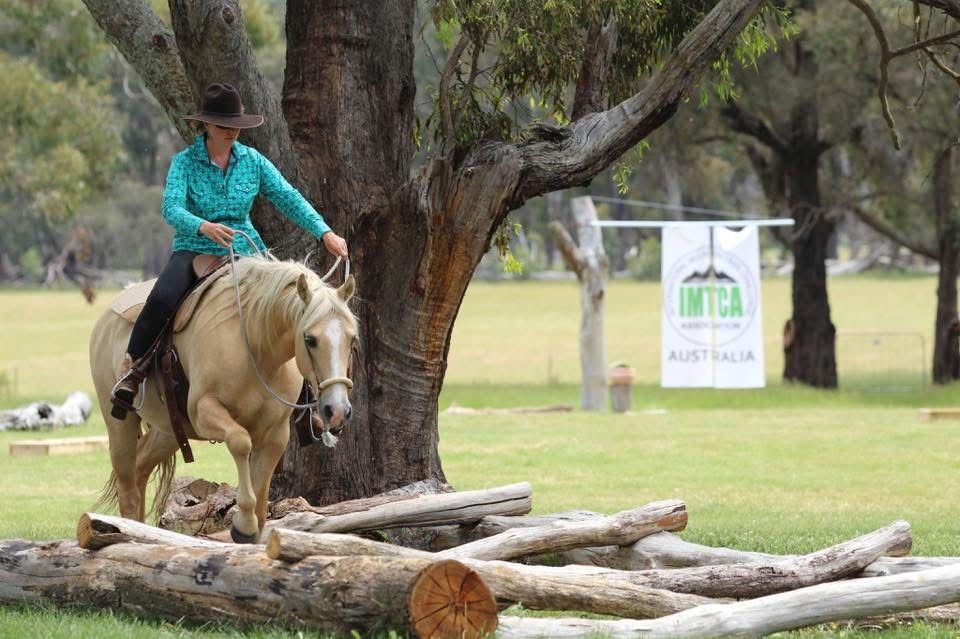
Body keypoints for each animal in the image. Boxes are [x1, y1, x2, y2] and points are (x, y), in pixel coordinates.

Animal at [90, 255, 356, 540]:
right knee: (127, 482)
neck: (257, 348)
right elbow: (240, 441)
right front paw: (244, 524)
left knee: (140, 467)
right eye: (310, 339)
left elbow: (261, 503)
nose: (337, 410)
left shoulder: (275, 432)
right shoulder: (204, 410)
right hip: (119, 423)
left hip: (169, 431)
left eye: (352, 339)